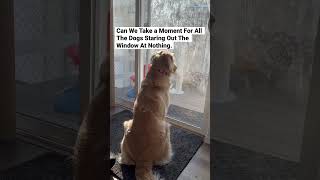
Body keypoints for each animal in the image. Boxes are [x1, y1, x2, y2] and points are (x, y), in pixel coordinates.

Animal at [119, 50, 176, 179]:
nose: (176, 68)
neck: (157, 70)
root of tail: (144, 158)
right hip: (167, 129)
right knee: (162, 160)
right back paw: (168, 157)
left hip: (126, 125)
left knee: (126, 160)